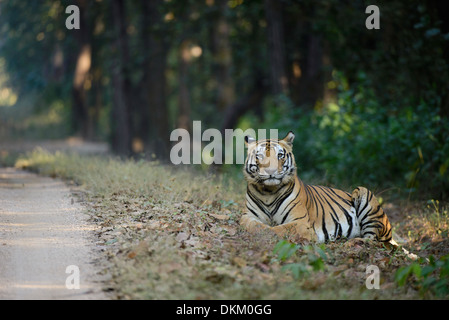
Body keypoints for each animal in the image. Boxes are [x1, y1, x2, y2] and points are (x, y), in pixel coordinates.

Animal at [242, 131, 392, 244]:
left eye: (280, 155)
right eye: (259, 156)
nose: (271, 171)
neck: (269, 192)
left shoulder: (300, 222)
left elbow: (278, 229)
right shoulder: (247, 216)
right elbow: (254, 225)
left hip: (363, 193)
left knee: (373, 239)